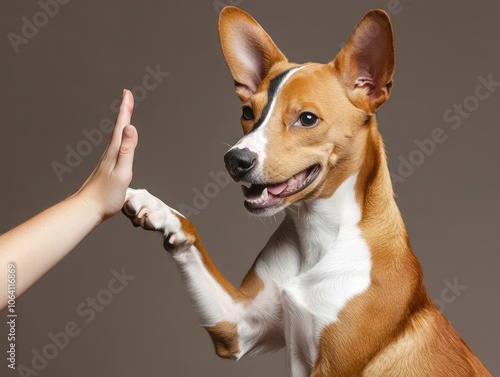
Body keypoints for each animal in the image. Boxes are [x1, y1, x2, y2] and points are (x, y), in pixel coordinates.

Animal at [122, 6, 492, 376]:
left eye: (308, 119)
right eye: (247, 112)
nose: (235, 160)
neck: (318, 232)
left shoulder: (334, 367)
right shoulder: (238, 325)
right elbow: (190, 234)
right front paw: (153, 207)